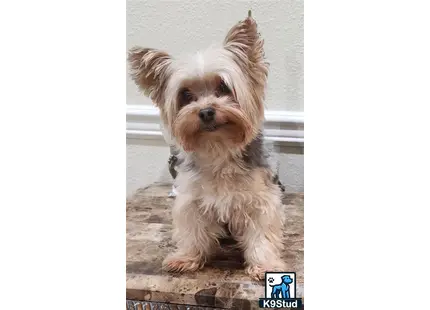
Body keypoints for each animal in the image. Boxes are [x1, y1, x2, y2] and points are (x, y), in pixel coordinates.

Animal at [128, 10, 288, 280]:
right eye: (185, 95)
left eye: (223, 87)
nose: (205, 112)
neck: (218, 148)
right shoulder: (191, 200)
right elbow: (193, 231)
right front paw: (186, 257)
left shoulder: (260, 200)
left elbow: (262, 234)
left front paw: (265, 264)